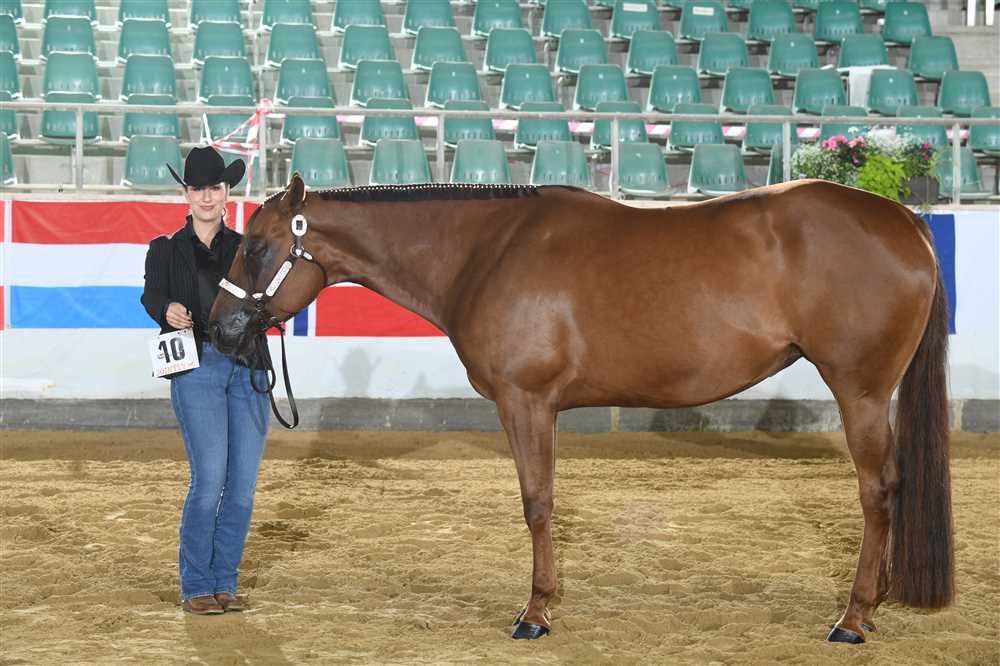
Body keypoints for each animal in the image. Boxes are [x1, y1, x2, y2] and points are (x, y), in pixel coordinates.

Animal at [209, 174, 953, 643]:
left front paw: (536, 612)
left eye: (256, 246)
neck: (486, 251)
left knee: (878, 492)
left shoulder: (527, 401)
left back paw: (853, 619)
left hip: (859, 391)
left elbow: (537, 502)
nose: (217, 329)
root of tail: (905, 221)